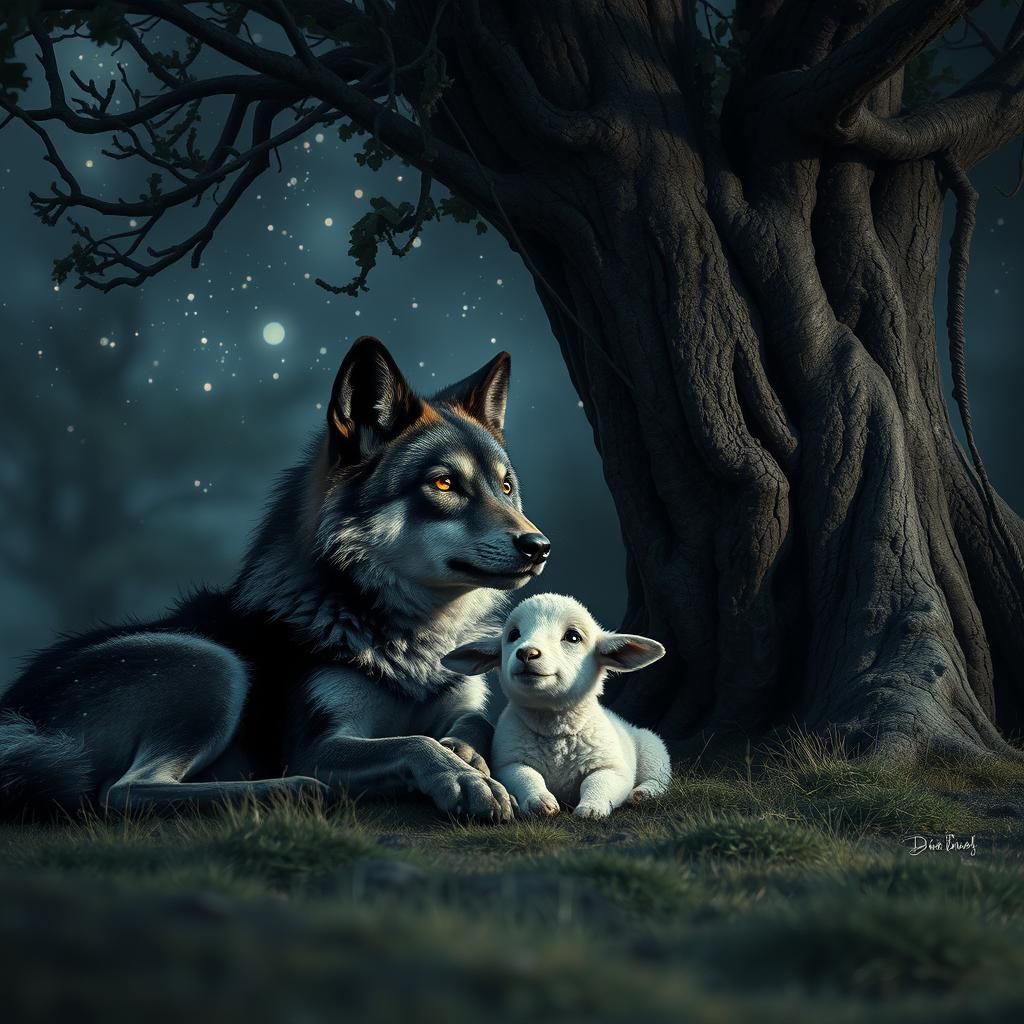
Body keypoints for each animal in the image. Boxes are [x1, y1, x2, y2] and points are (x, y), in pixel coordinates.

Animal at [0, 336, 550, 821]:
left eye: (505, 486)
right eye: (444, 483)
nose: (538, 546)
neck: (414, 638)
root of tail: (17, 714)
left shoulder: (460, 699)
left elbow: (475, 721)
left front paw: (465, 752)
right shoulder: (319, 744)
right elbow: (411, 741)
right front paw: (461, 776)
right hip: (210, 663)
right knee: (124, 793)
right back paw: (287, 789)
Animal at [441, 593, 671, 819]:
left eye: (573, 637)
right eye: (513, 635)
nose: (526, 653)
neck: (555, 731)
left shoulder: (611, 768)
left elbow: (597, 782)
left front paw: (592, 807)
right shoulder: (508, 764)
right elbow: (526, 776)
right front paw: (540, 801)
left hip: (653, 749)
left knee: (659, 778)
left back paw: (643, 793)